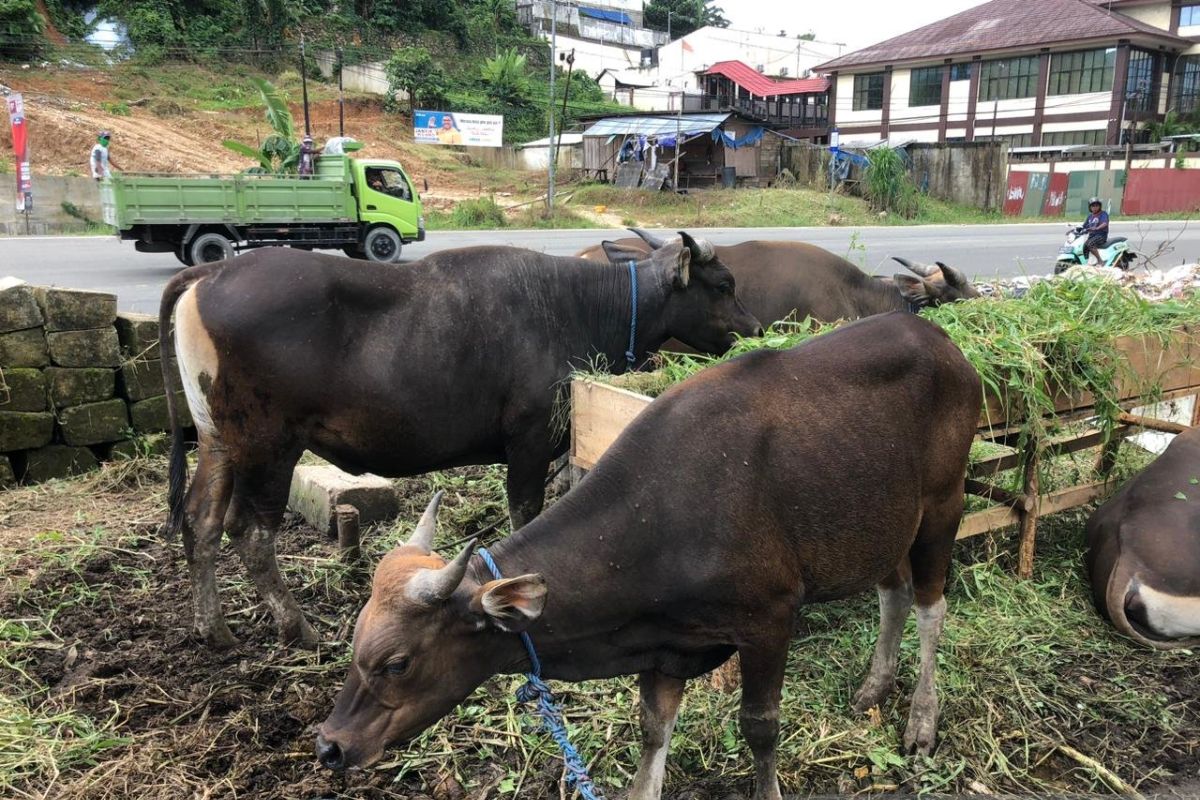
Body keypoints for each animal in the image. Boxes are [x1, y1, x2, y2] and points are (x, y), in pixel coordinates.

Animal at [159, 239, 758, 652]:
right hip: (267, 448)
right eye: (723, 284)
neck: (580, 305)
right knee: (250, 533)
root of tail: (212, 271)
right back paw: (298, 628)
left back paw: (212, 628)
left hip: (218, 442)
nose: (753, 329)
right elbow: (526, 511)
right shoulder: (530, 442)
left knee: (201, 522)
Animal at [314, 311, 979, 800]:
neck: (661, 518)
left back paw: (921, 722)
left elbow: (760, 728)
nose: (330, 746)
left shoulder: (769, 620)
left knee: (931, 607)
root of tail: (942, 339)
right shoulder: (665, 645)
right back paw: (874, 688)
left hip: (943, 505)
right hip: (884, 523)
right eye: (355, 645)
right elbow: (653, 732)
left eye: (396, 663)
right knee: (895, 593)